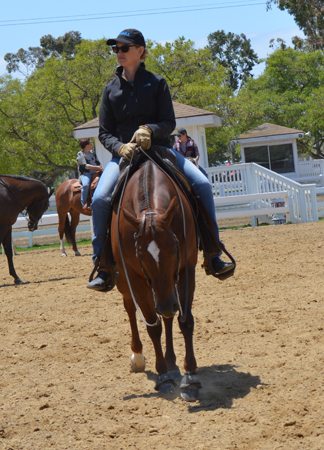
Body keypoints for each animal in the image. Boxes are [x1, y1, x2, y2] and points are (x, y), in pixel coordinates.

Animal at [111, 156, 201, 400]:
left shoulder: (185, 270)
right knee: (131, 308)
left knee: (168, 316)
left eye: (174, 248)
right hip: (127, 283)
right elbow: (153, 326)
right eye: (140, 254)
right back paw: (138, 356)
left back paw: (172, 362)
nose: (167, 304)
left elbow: (185, 320)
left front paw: (190, 377)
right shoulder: (136, 278)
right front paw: (163, 377)